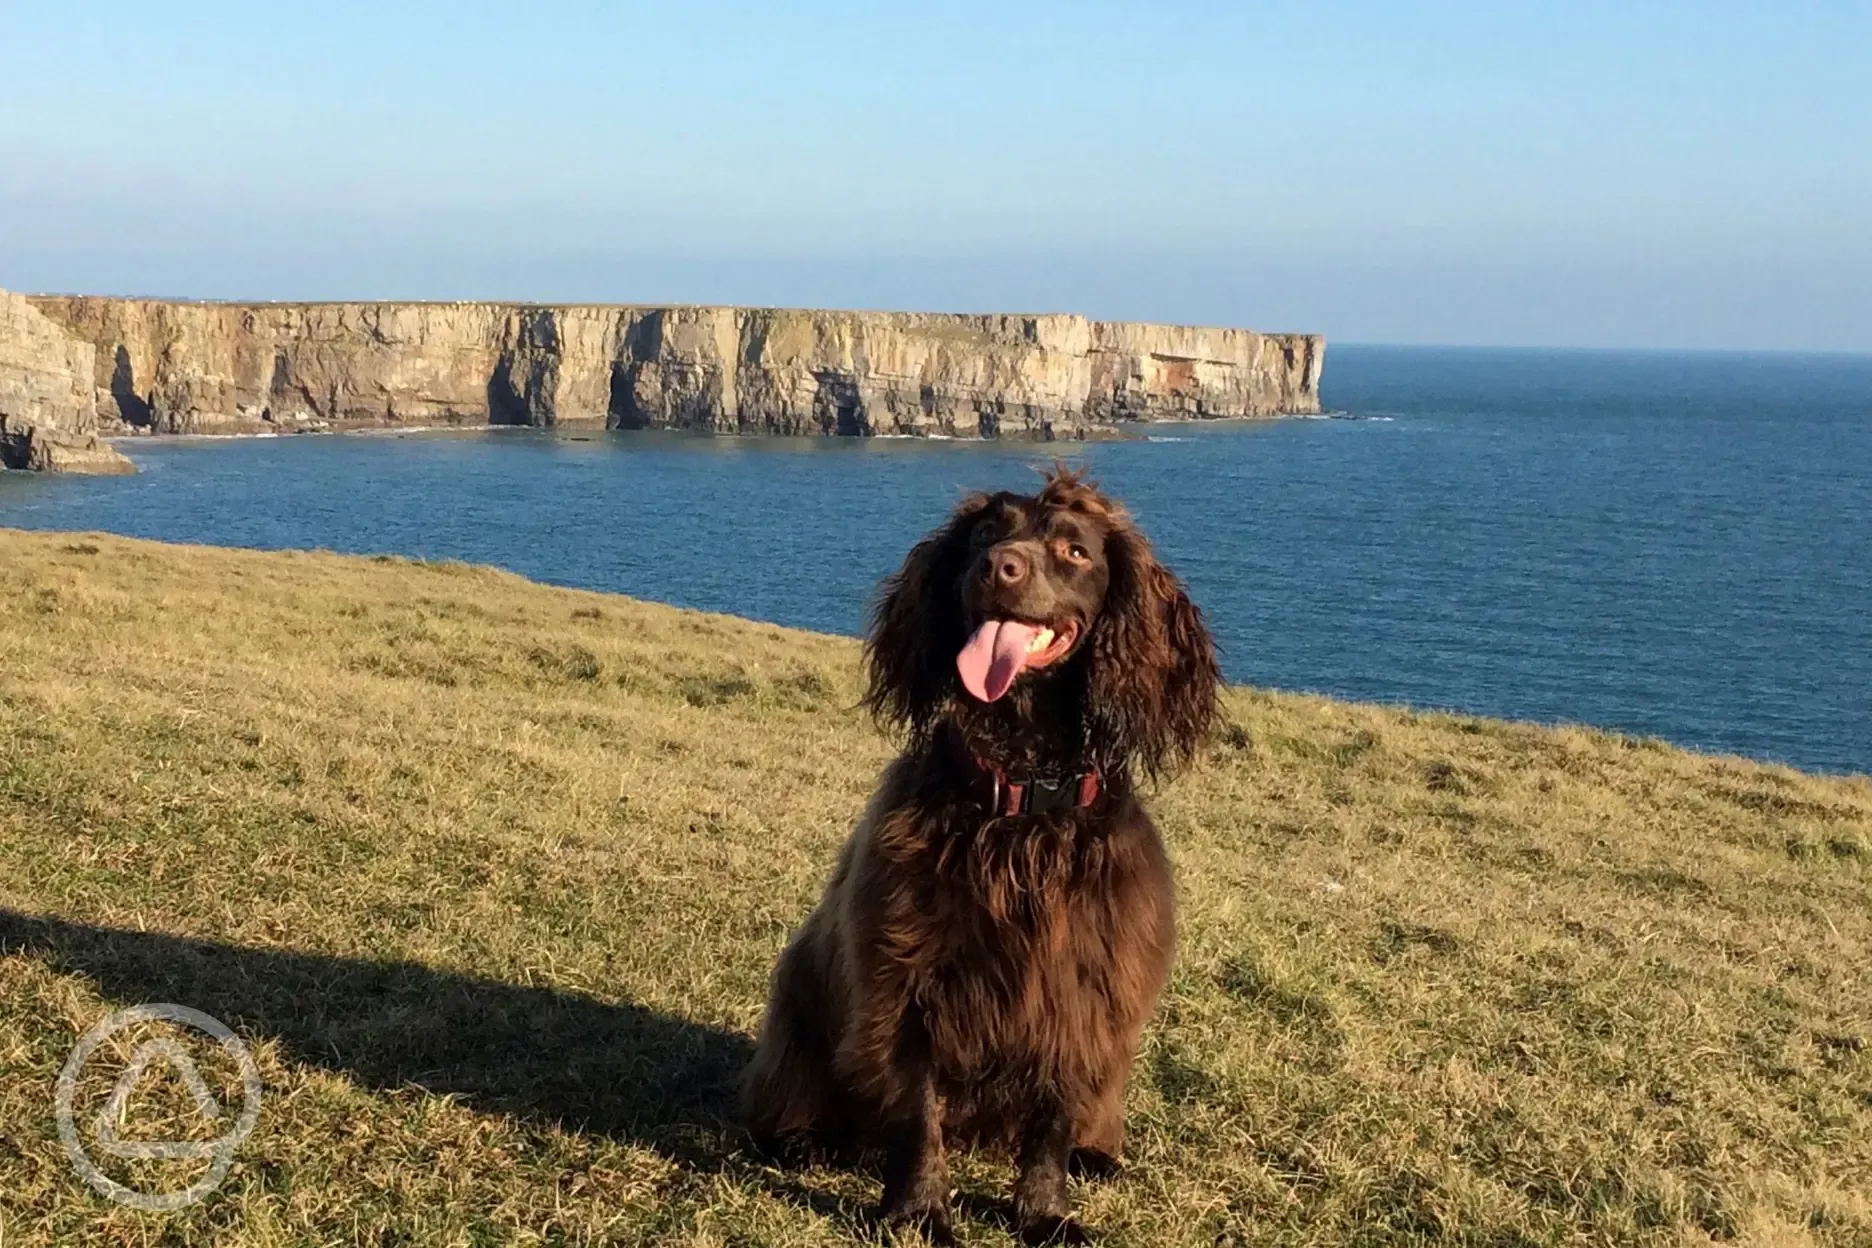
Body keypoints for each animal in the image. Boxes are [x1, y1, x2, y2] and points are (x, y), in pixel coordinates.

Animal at [737, 465, 1220, 1242]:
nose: (1000, 567)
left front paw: (1045, 1214)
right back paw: (804, 1138)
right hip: (799, 1008)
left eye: (1075, 550)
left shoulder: (1081, 987)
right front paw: (919, 1212)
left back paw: (1095, 1156)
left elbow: (1052, 1118)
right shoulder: (909, 972)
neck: (1020, 793)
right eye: (987, 533)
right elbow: (918, 1108)